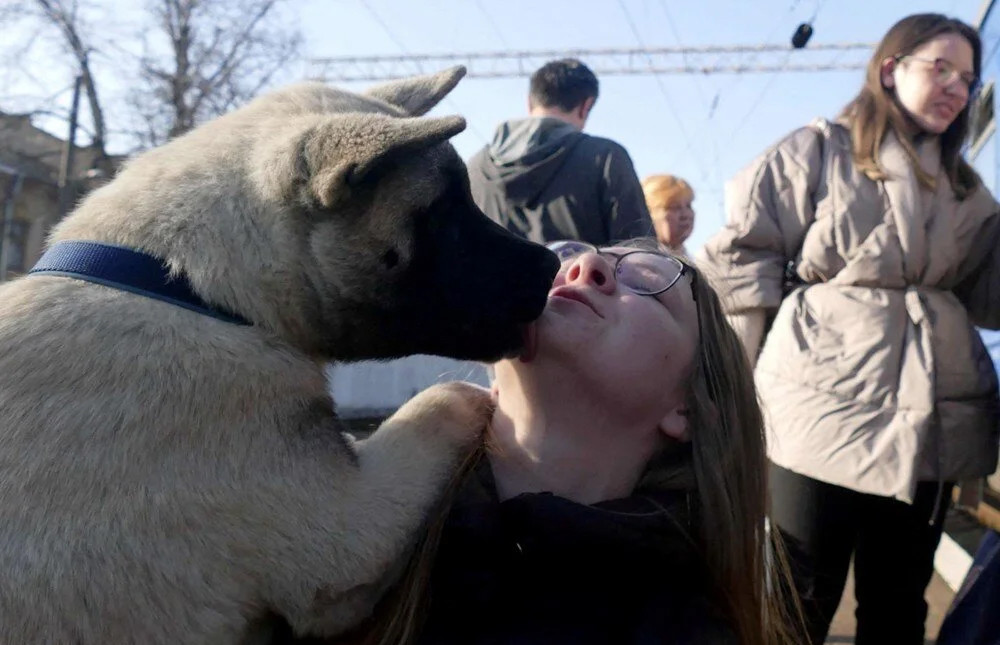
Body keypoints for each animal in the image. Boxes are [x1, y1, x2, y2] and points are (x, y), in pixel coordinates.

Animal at [0, 68, 564, 640]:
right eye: (443, 215)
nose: (550, 265)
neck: (190, 290)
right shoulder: (348, 530)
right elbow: (442, 401)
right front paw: (481, 398)